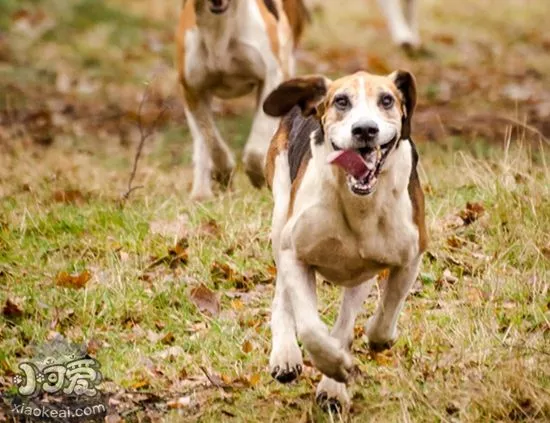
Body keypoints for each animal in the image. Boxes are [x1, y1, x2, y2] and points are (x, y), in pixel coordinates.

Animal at [175, 0, 308, 200]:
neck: (220, 27)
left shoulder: (271, 79)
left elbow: (256, 146)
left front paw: (258, 174)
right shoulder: (192, 89)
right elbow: (211, 141)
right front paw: (223, 172)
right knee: (201, 141)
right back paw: (201, 191)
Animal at [266, 70, 430, 414]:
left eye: (387, 100)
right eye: (341, 101)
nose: (365, 129)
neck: (359, 203)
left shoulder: (411, 254)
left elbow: (386, 312)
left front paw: (377, 342)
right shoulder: (295, 253)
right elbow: (311, 328)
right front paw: (333, 365)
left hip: (361, 274)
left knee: (345, 321)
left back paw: (333, 389)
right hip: (280, 212)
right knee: (283, 297)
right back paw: (286, 355)